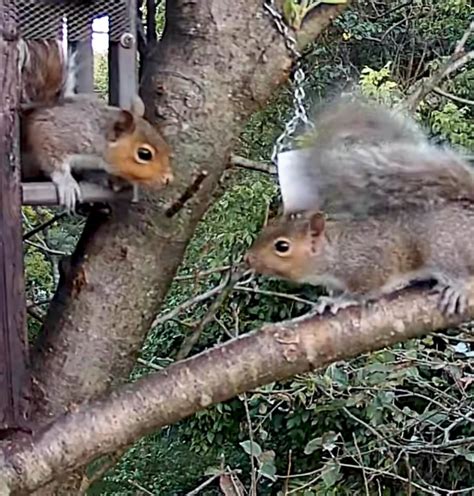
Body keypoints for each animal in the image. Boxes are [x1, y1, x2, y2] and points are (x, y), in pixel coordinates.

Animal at [19, 38, 174, 209]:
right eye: (144, 154)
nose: (168, 179)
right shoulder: (55, 135)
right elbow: (52, 160)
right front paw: (67, 184)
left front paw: (115, 180)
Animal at [244, 96, 474, 318]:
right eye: (268, 227)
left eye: (282, 246)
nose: (248, 258)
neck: (336, 250)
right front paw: (326, 300)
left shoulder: (368, 265)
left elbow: (363, 291)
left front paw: (340, 301)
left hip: (444, 248)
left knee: (460, 271)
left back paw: (457, 288)